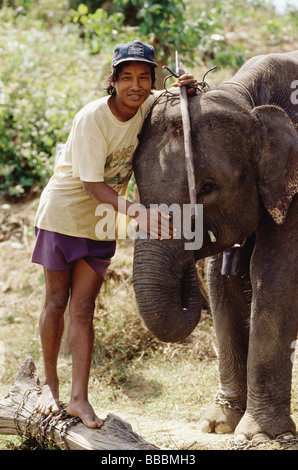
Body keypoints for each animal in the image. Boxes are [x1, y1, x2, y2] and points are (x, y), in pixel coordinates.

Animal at [133, 52, 298, 444]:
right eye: (137, 183)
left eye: (207, 187)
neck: (246, 96)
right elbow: (223, 284)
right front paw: (218, 425)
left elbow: (275, 273)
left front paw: (257, 436)